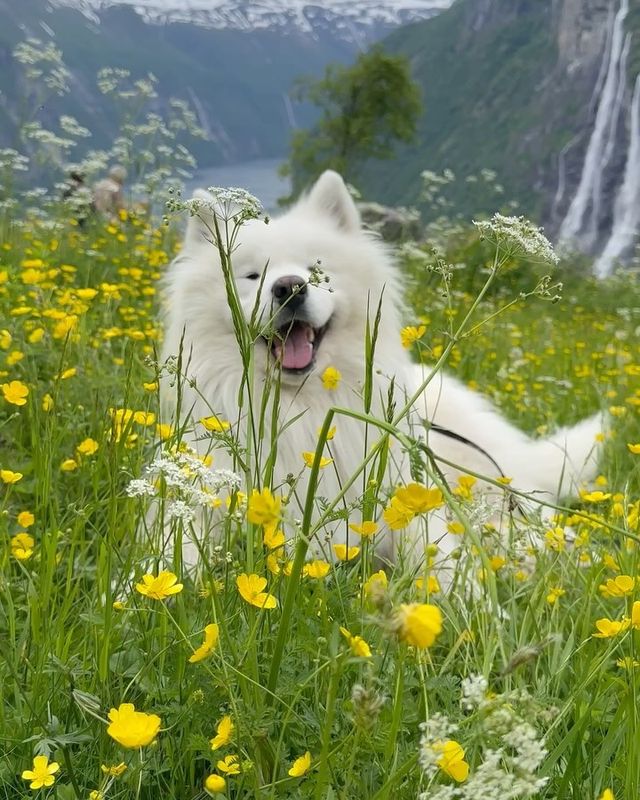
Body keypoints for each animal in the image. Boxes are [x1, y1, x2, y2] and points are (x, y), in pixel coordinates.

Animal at [162, 172, 604, 576]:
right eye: (252, 276)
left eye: (316, 268)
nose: (289, 287)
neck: (303, 405)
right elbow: (178, 548)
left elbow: (431, 554)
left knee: (527, 510)